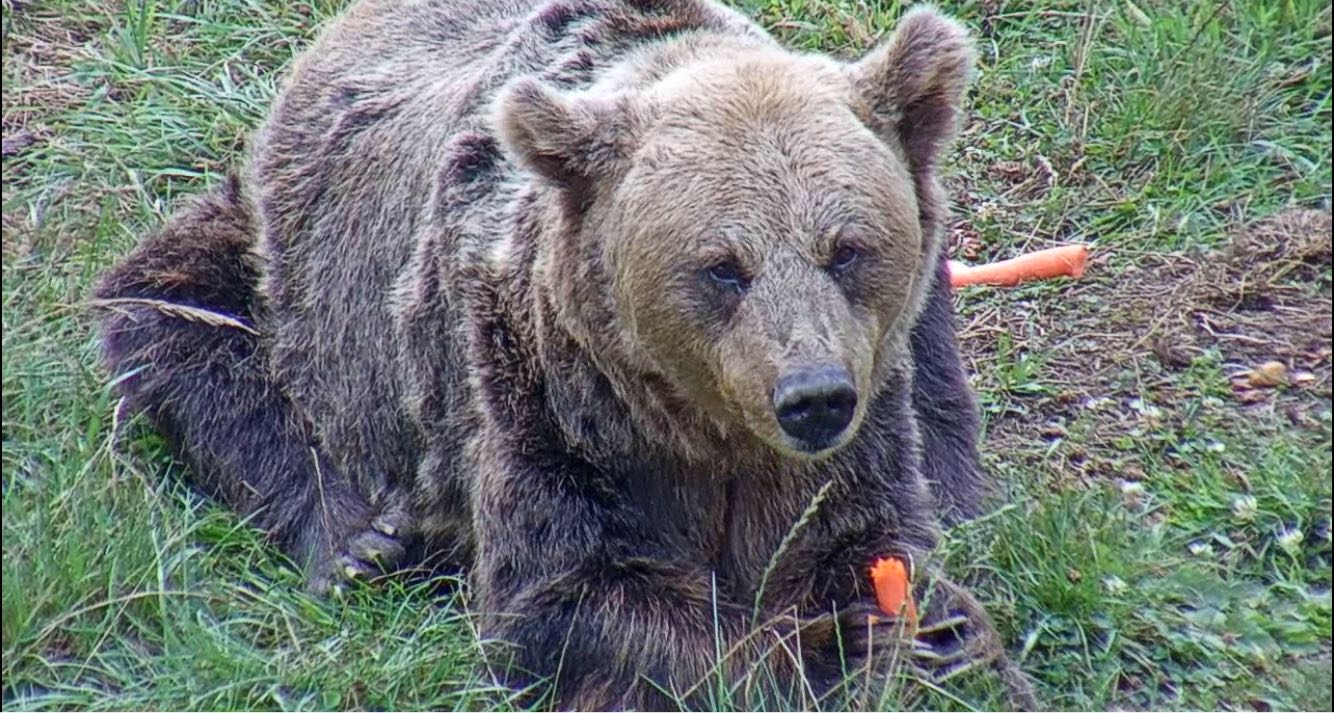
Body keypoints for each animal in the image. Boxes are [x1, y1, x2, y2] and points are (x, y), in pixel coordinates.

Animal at [96, 0, 1029, 704]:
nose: (812, 396)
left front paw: (931, 634)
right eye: (723, 265)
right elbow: (569, 598)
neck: (702, 428)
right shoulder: (546, 398)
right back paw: (360, 541)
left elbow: (863, 536)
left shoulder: (867, 407)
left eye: (845, 248)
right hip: (291, 265)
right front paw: (802, 654)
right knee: (177, 318)